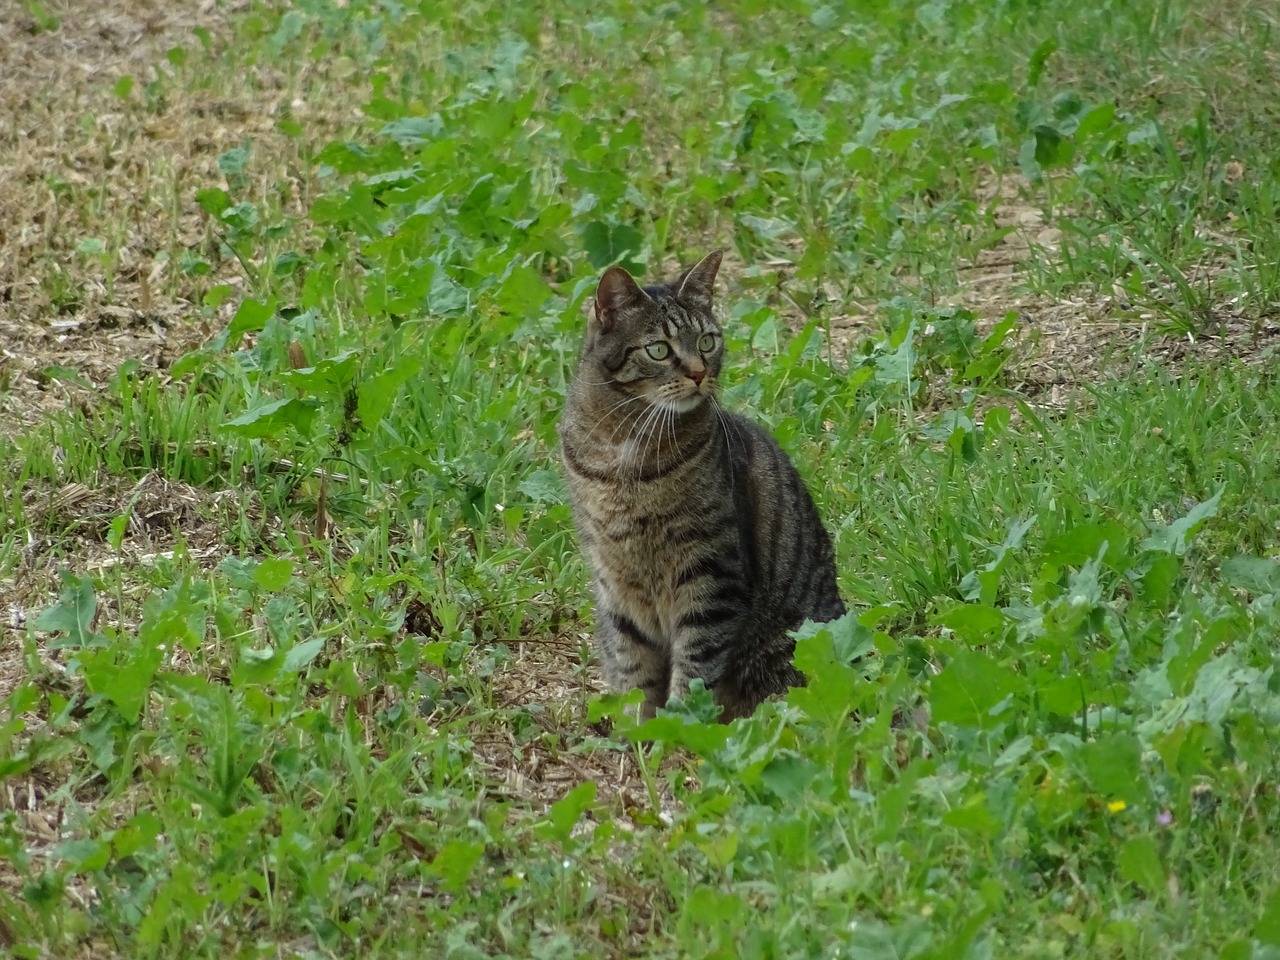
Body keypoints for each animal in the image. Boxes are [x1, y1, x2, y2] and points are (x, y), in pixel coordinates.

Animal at [555, 248, 844, 721]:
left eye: (707, 341)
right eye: (658, 349)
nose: (697, 372)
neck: (624, 450)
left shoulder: (711, 576)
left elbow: (693, 672)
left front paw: (679, 725)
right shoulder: (616, 588)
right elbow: (633, 673)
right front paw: (637, 730)